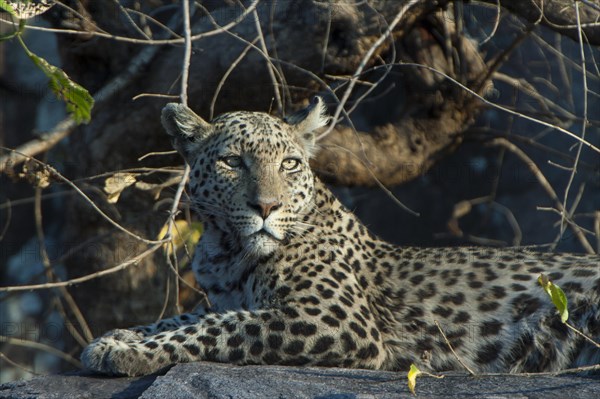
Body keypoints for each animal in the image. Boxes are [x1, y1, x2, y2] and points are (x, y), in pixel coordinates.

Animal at [81, 97, 600, 378]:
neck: (228, 250)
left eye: (290, 163)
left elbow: (219, 326)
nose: (265, 208)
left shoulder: (334, 319)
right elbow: (183, 317)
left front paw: (125, 351)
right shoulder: (225, 296)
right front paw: (117, 336)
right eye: (232, 162)